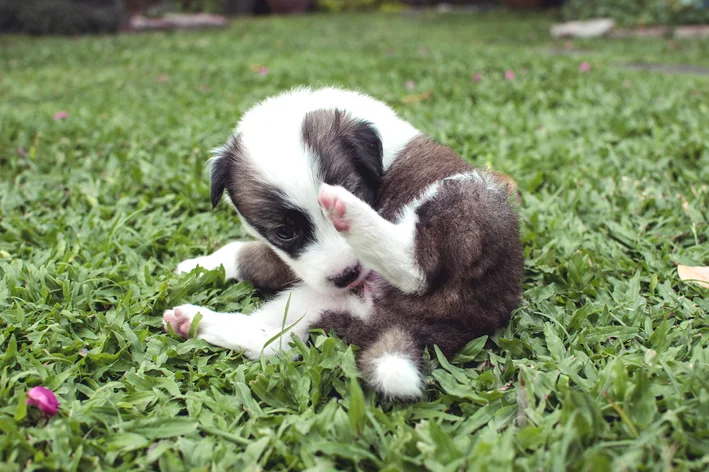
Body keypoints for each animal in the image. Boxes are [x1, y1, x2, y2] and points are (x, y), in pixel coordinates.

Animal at [163, 85, 524, 398]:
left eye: (359, 189)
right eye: (284, 231)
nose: (347, 276)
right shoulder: (299, 263)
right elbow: (250, 255)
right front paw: (198, 265)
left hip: (469, 201)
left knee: (417, 269)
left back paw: (347, 210)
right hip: (324, 307)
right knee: (272, 343)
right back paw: (194, 321)